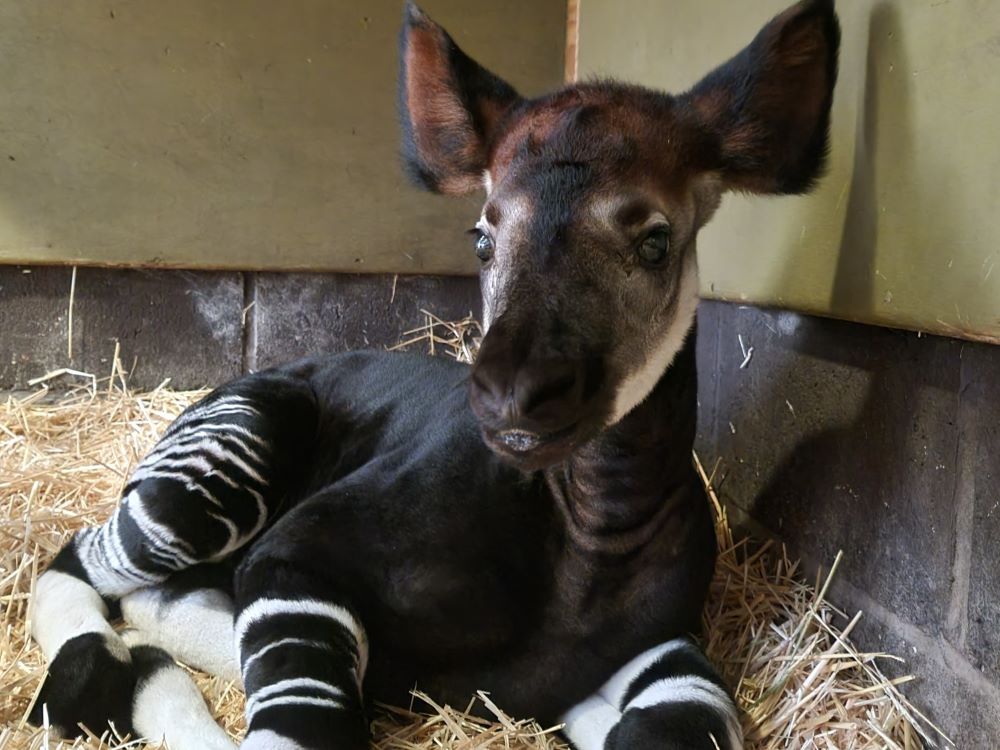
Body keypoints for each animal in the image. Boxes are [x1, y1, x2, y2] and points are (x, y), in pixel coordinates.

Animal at [27, 0, 836, 748]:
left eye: (656, 241)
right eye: (482, 238)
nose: (512, 396)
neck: (593, 530)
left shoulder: (653, 645)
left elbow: (676, 720)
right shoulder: (295, 558)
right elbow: (305, 724)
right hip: (225, 463)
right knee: (82, 557)